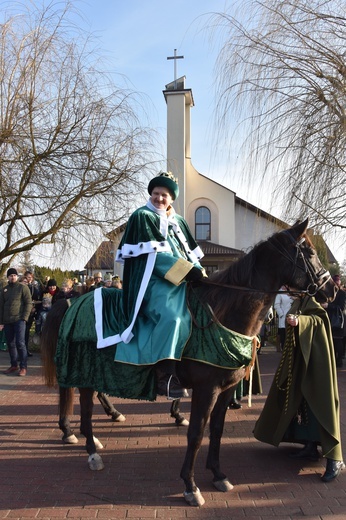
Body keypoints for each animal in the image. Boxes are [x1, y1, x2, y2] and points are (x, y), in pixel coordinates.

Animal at [39, 217, 336, 506]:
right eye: (310, 252)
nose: (330, 290)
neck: (221, 313)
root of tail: (74, 301)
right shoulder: (206, 390)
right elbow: (196, 434)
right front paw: (190, 486)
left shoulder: (225, 390)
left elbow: (216, 430)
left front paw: (218, 474)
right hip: (85, 370)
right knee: (86, 409)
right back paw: (91, 450)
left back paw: (92, 428)